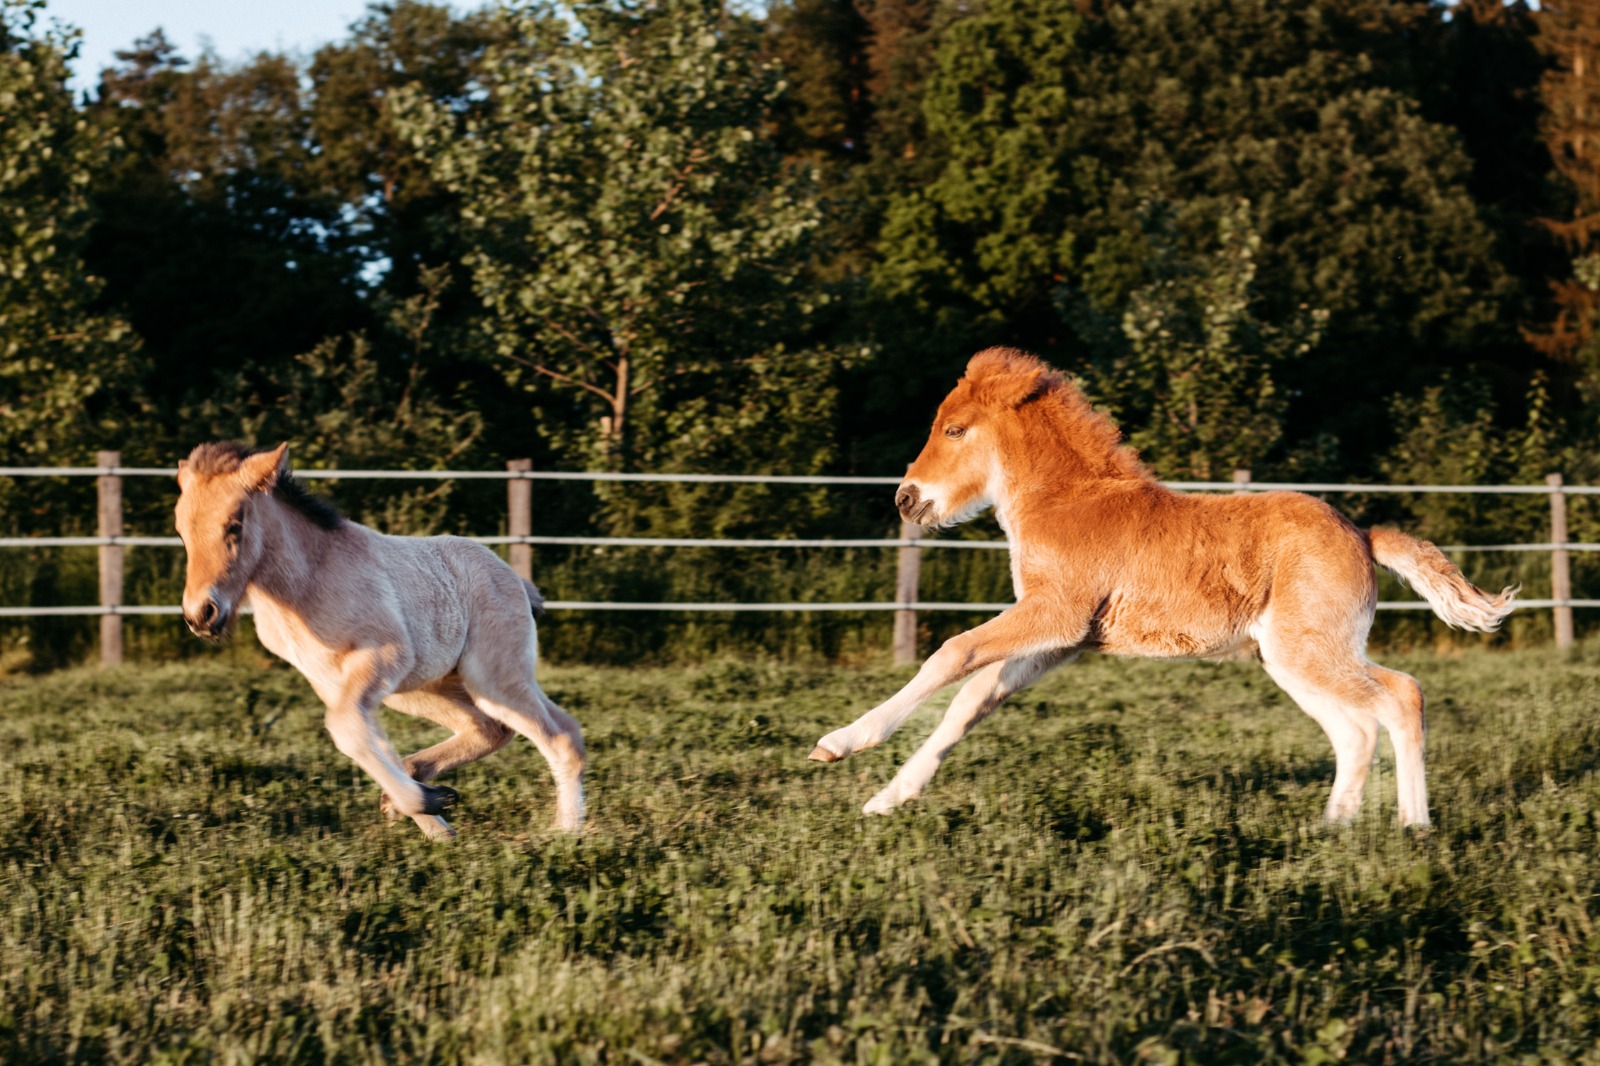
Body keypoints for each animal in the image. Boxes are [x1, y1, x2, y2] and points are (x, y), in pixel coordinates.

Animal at [172, 438, 585, 838]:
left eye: (234, 525)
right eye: (181, 531)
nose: (201, 615)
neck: (306, 583)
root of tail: (515, 580)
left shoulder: (383, 658)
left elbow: (348, 731)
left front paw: (423, 804)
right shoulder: (333, 683)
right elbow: (366, 737)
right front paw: (432, 819)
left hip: (493, 679)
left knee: (561, 736)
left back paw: (567, 835)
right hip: (426, 688)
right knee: (492, 728)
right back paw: (418, 786)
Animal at [812, 344, 1510, 825]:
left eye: (955, 429)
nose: (906, 499)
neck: (1067, 502)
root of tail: (1363, 535)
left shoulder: (1055, 613)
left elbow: (950, 655)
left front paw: (839, 743)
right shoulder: (1059, 639)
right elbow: (970, 702)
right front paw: (887, 798)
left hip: (1314, 649)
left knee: (1401, 697)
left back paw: (1414, 827)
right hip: (1289, 657)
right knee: (1354, 729)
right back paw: (1333, 828)